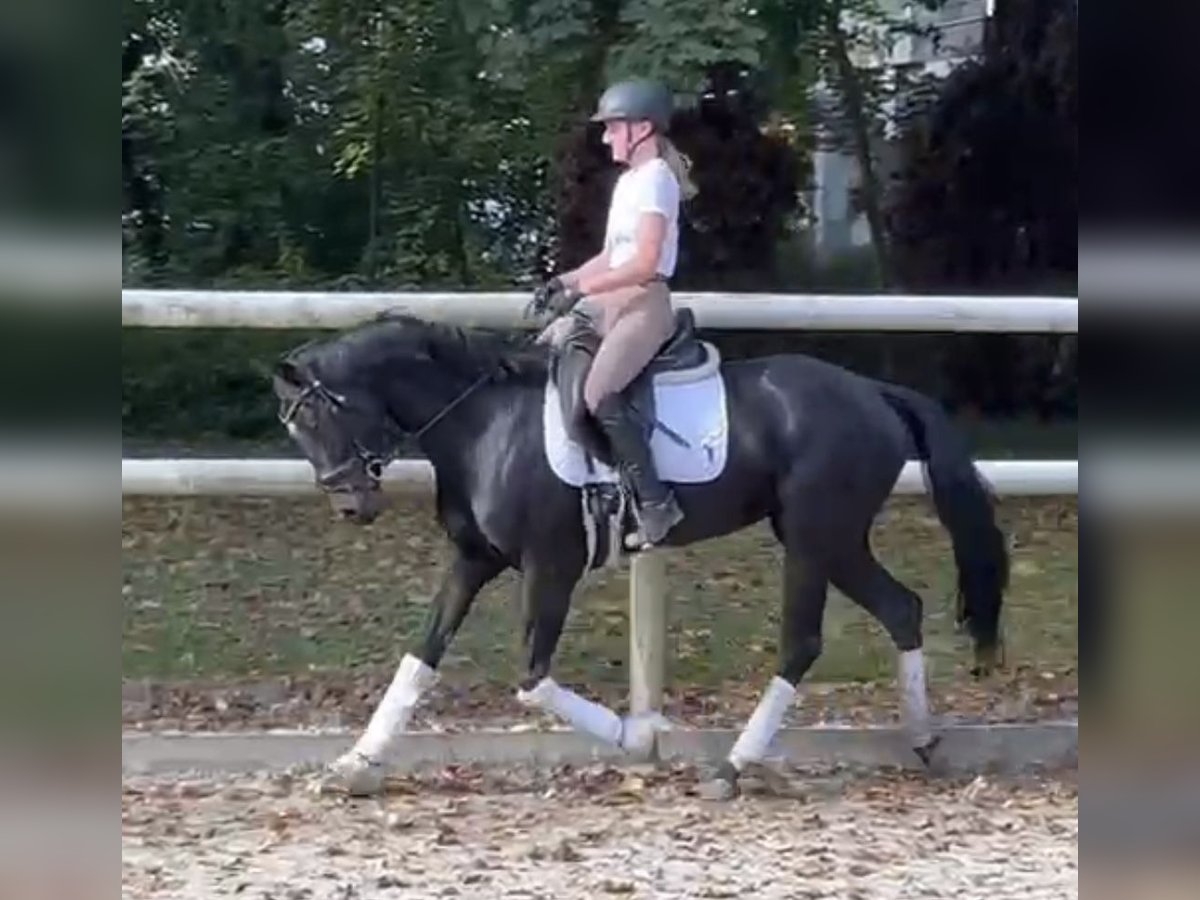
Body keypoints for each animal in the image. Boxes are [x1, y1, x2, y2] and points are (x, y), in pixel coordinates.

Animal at [274, 309, 1012, 796]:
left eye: (316, 416)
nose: (350, 506)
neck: (485, 425)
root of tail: (871, 392)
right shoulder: (474, 560)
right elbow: (420, 657)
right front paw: (355, 765)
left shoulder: (550, 567)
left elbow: (532, 679)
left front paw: (637, 737)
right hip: (835, 539)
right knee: (901, 608)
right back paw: (922, 739)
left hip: (813, 535)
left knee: (805, 641)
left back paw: (731, 768)